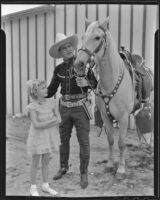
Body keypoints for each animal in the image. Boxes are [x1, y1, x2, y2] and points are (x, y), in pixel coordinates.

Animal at [74, 19, 153, 178]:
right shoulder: (106, 117)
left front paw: (121, 169)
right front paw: (110, 164)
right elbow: (111, 140)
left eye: (97, 37)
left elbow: (121, 143)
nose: (78, 64)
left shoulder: (122, 118)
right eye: (83, 37)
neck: (112, 79)